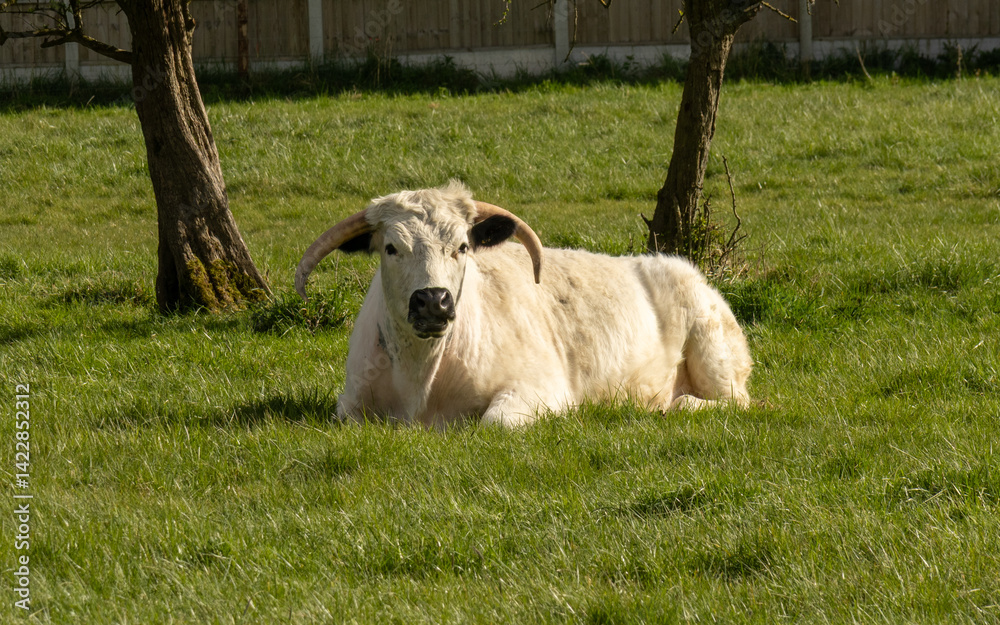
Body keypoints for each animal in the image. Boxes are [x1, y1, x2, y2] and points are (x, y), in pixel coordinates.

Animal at [295, 182, 752, 427]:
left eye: (463, 246)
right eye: (391, 248)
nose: (433, 302)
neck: (418, 378)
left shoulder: (543, 387)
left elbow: (494, 423)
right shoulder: (350, 404)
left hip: (715, 359)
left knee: (731, 402)